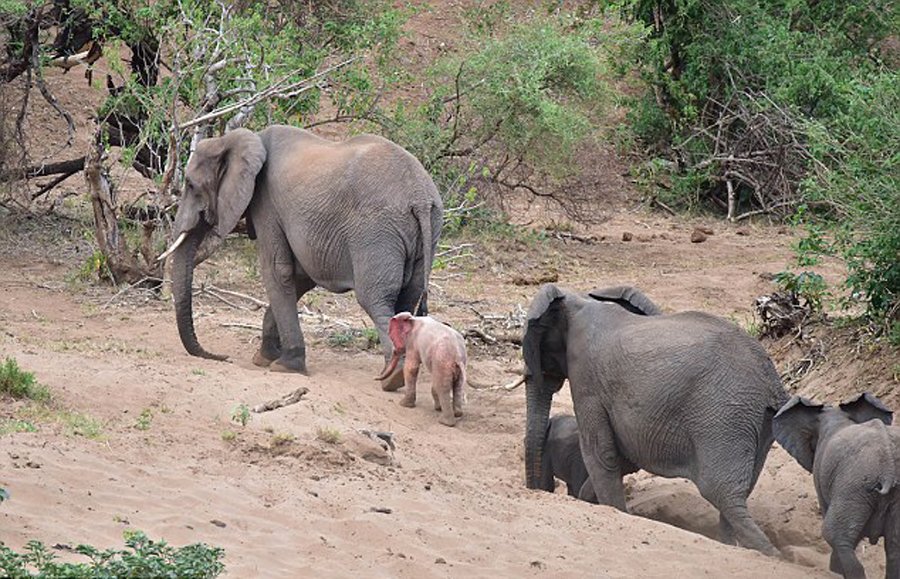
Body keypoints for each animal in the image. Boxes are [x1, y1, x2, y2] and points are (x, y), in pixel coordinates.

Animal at [163, 125, 446, 386]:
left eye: (190, 185)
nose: (221, 357)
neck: (237, 139)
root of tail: (420, 198)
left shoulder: (267, 204)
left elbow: (277, 270)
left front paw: (285, 366)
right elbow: (299, 276)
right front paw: (264, 358)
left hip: (376, 232)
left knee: (376, 299)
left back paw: (391, 378)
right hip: (427, 230)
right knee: (407, 298)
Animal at [520, 286, 788, 556]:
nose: (540, 490)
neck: (577, 300)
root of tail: (771, 379)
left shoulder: (586, 376)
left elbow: (600, 453)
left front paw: (615, 510)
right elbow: (621, 456)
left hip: (724, 414)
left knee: (721, 492)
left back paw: (772, 555)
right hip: (757, 421)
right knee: (740, 492)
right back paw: (732, 545)